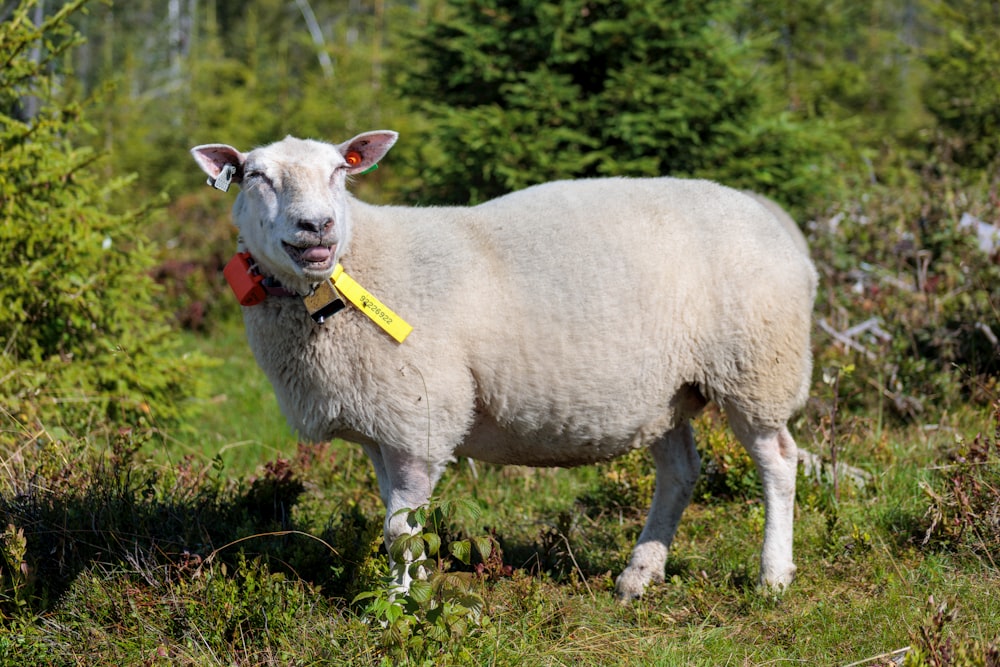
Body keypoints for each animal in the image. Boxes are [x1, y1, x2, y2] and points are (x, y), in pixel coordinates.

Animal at [191, 130, 816, 600]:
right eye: (255, 176)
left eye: (339, 174)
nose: (317, 226)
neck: (347, 277)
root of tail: (773, 218)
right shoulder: (379, 424)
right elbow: (394, 521)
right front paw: (407, 592)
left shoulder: (419, 416)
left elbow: (402, 529)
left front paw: (402, 607)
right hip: (663, 389)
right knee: (681, 472)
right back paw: (639, 575)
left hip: (756, 366)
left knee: (780, 463)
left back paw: (773, 576)